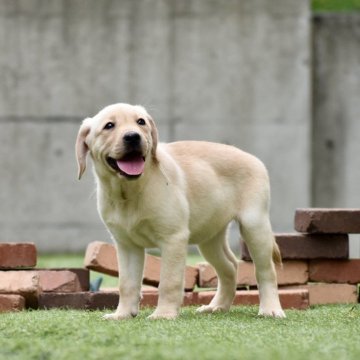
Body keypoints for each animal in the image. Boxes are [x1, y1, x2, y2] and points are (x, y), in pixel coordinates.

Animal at [76, 102, 286, 320]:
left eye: (140, 122)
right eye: (109, 126)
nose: (133, 136)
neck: (130, 191)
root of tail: (253, 157)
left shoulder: (173, 238)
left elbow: (169, 282)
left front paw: (164, 314)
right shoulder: (126, 245)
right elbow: (126, 283)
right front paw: (122, 314)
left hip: (254, 225)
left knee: (266, 271)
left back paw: (270, 309)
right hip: (210, 237)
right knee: (230, 266)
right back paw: (217, 306)